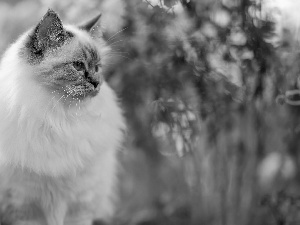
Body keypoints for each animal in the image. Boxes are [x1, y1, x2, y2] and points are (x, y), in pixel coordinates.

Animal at [0, 8, 125, 225]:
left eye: (98, 68)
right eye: (78, 65)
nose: (97, 83)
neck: (59, 118)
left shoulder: (79, 208)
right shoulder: (24, 208)